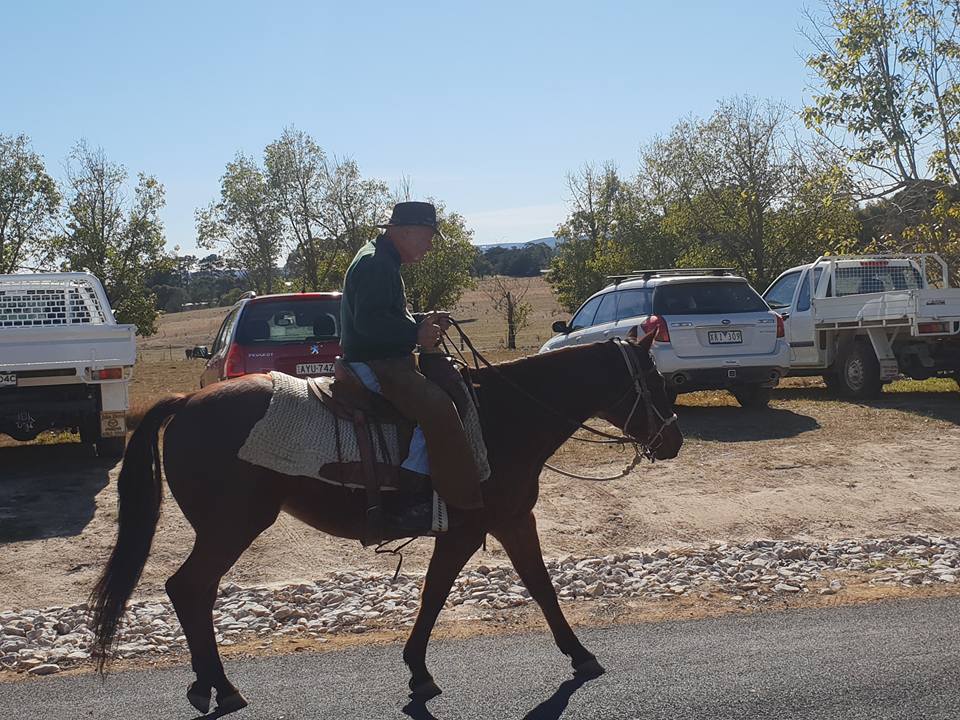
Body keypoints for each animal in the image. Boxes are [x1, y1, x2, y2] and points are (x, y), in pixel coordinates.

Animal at [88, 332, 676, 716]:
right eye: (655, 381)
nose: (673, 439)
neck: (504, 417)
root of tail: (188, 400)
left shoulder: (508, 521)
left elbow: (532, 585)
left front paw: (577, 655)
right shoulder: (473, 529)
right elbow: (446, 592)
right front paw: (422, 669)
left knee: (194, 591)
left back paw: (207, 683)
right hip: (232, 527)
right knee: (189, 588)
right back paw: (221, 684)